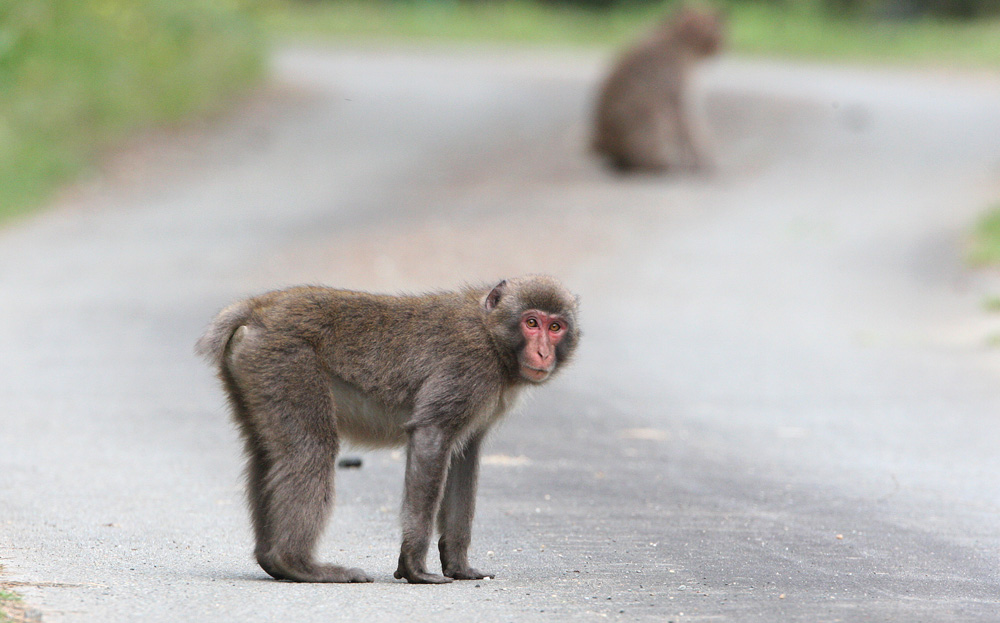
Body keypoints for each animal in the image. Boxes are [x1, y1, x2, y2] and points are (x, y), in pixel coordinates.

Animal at [194, 276, 580, 584]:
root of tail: (258, 308)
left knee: (265, 453)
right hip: (285, 361)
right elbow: (432, 436)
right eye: (532, 322)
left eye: (555, 327)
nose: (543, 352)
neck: (491, 336)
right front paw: (415, 567)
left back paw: (271, 561)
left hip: (254, 371)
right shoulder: (469, 369)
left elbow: (464, 457)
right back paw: (296, 564)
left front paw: (458, 566)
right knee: (310, 449)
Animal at [588, 6, 724, 174]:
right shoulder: (676, 91)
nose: (722, 45)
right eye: (715, 30)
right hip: (653, 116)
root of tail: (608, 147)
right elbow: (691, 129)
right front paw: (703, 160)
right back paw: (661, 164)